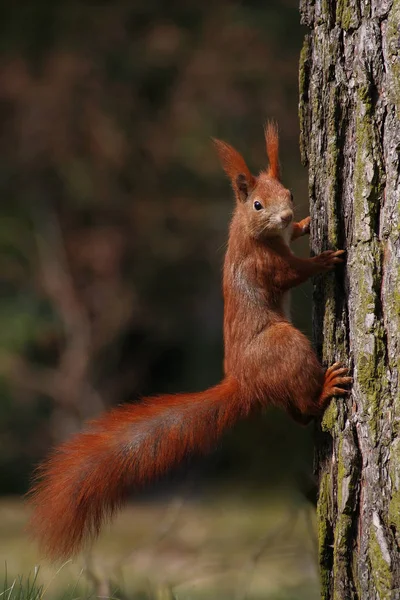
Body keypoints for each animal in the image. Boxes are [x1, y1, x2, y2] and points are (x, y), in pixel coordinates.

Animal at [28, 124, 352, 560]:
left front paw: (301, 224)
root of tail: (244, 383)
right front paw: (323, 260)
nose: (286, 215)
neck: (250, 232)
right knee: (306, 407)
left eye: (289, 193)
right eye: (257, 204)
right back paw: (326, 388)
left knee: (298, 415)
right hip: (284, 345)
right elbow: (292, 273)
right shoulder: (264, 264)